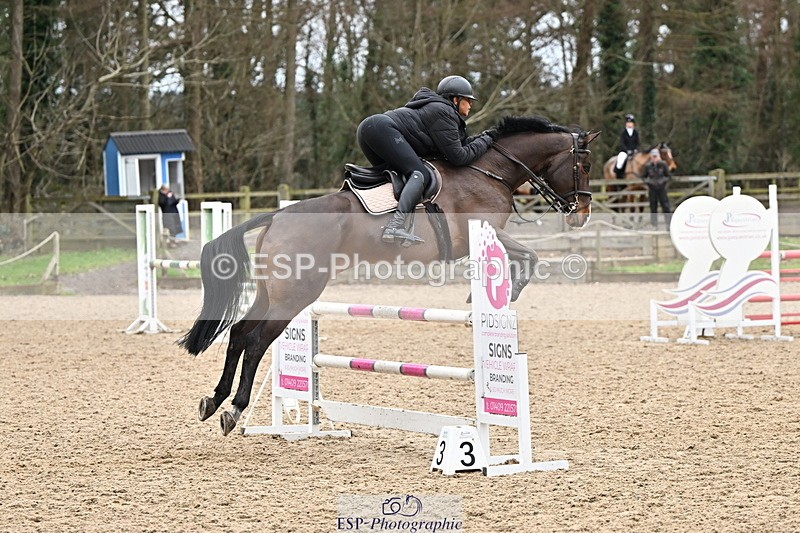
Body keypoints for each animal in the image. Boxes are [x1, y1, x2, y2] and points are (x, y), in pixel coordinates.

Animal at [179, 115, 600, 436]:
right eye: (584, 166)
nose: (581, 215)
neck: (489, 171)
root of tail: (277, 216)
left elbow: (528, 256)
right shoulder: (481, 232)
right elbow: (530, 255)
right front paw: (502, 294)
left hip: (272, 293)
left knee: (238, 334)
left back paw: (213, 401)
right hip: (295, 296)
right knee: (255, 342)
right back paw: (234, 409)